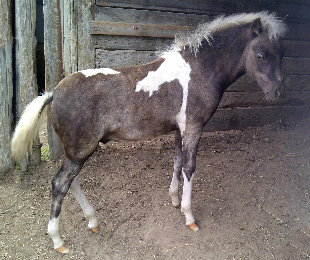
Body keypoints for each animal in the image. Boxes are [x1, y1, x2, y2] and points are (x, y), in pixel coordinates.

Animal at [10, 12, 286, 254]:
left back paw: (92, 221)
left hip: (76, 151)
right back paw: (58, 241)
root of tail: (53, 92)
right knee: (60, 184)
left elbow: (176, 161)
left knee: (70, 181)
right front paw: (189, 216)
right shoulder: (193, 127)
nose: (276, 92)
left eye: (280, 54)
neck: (198, 69)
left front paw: (174, 200)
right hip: (81, 149)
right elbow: (189, 167)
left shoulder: (180, 130)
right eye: (261, 54)